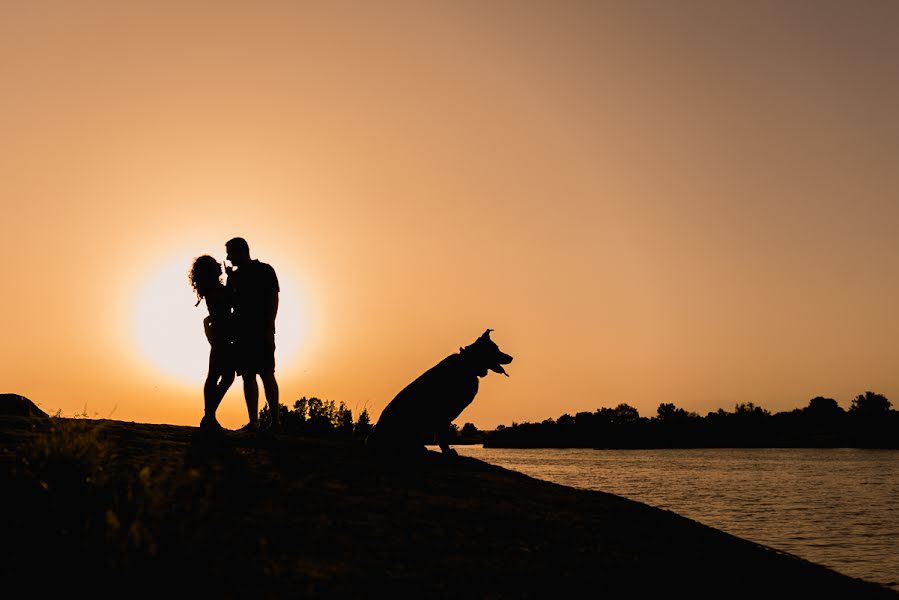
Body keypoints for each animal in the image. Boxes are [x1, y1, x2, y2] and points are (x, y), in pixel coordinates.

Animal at [368, 328, 512, 454]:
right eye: (496, 349)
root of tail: (373, 440)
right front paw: (447, 451)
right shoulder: (445, 411)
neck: (467, 364)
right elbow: (442, 434)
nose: (511, 358)